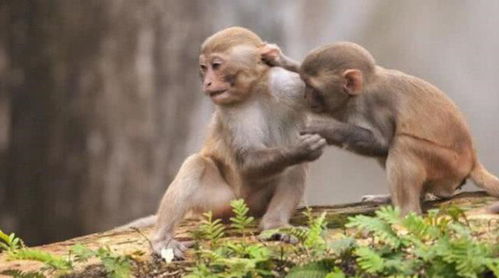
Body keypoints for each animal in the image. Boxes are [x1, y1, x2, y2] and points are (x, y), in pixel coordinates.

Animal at [152, 28, 328, 258]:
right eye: (203, 68)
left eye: (216, 65)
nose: (207, 83)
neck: (256, 89)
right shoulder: (230, 110)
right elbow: (247, 161)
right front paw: (300, 149)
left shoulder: (288, 85)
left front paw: (278, 56)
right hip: (222, 205)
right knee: (196, 164)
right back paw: (162, 239)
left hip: (257, 203)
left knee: (294, 167)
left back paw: (274, 224)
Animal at [264, 41, 498, 215]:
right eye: (304, 82)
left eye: (312, 88)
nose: (305, 97)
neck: (364, 88)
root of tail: (472, 160)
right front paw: (280, 59)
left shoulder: (375, 105)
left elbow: (383, 142)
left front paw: (323, 128)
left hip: (448, 165)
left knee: (402, 144)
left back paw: (406, 213)